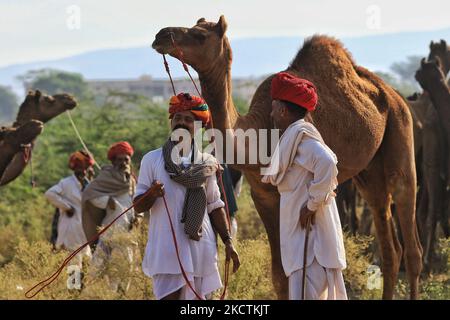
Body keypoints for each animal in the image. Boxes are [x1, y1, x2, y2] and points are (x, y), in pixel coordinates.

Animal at [154, 15, 422, 300]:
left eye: (200, 36)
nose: (162, 35)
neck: (259, 133)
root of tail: (392, 93)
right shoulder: (262, 194)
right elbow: (279, 275)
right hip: (370, 172)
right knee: (389, 240)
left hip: (400, 126)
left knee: (410, 235)